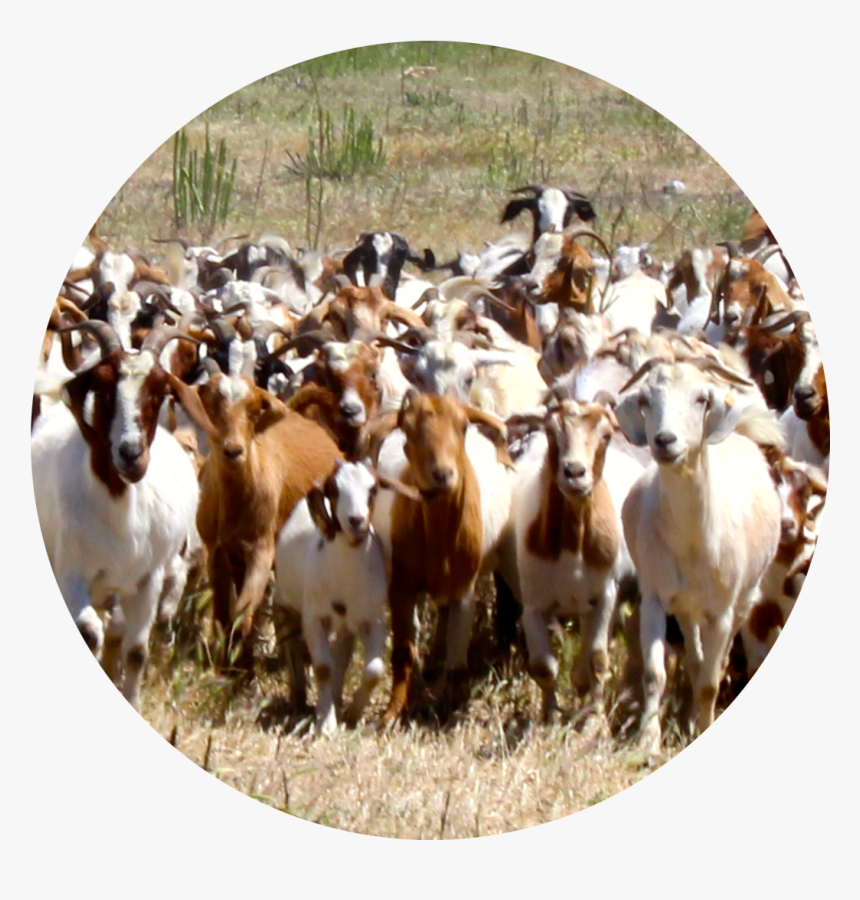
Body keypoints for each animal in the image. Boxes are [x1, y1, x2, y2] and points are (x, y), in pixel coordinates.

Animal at [616, 359, 782, 752]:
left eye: (701, 398)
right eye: (645, 399)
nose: (664, 440)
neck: (690, 542)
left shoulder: (721, 611)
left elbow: (710, 681)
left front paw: (704, 729)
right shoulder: (655, 597)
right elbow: (654, 674)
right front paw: (647, 743)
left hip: (743, 600)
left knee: (714, 665)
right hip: (686, 607)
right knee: (694, 659)